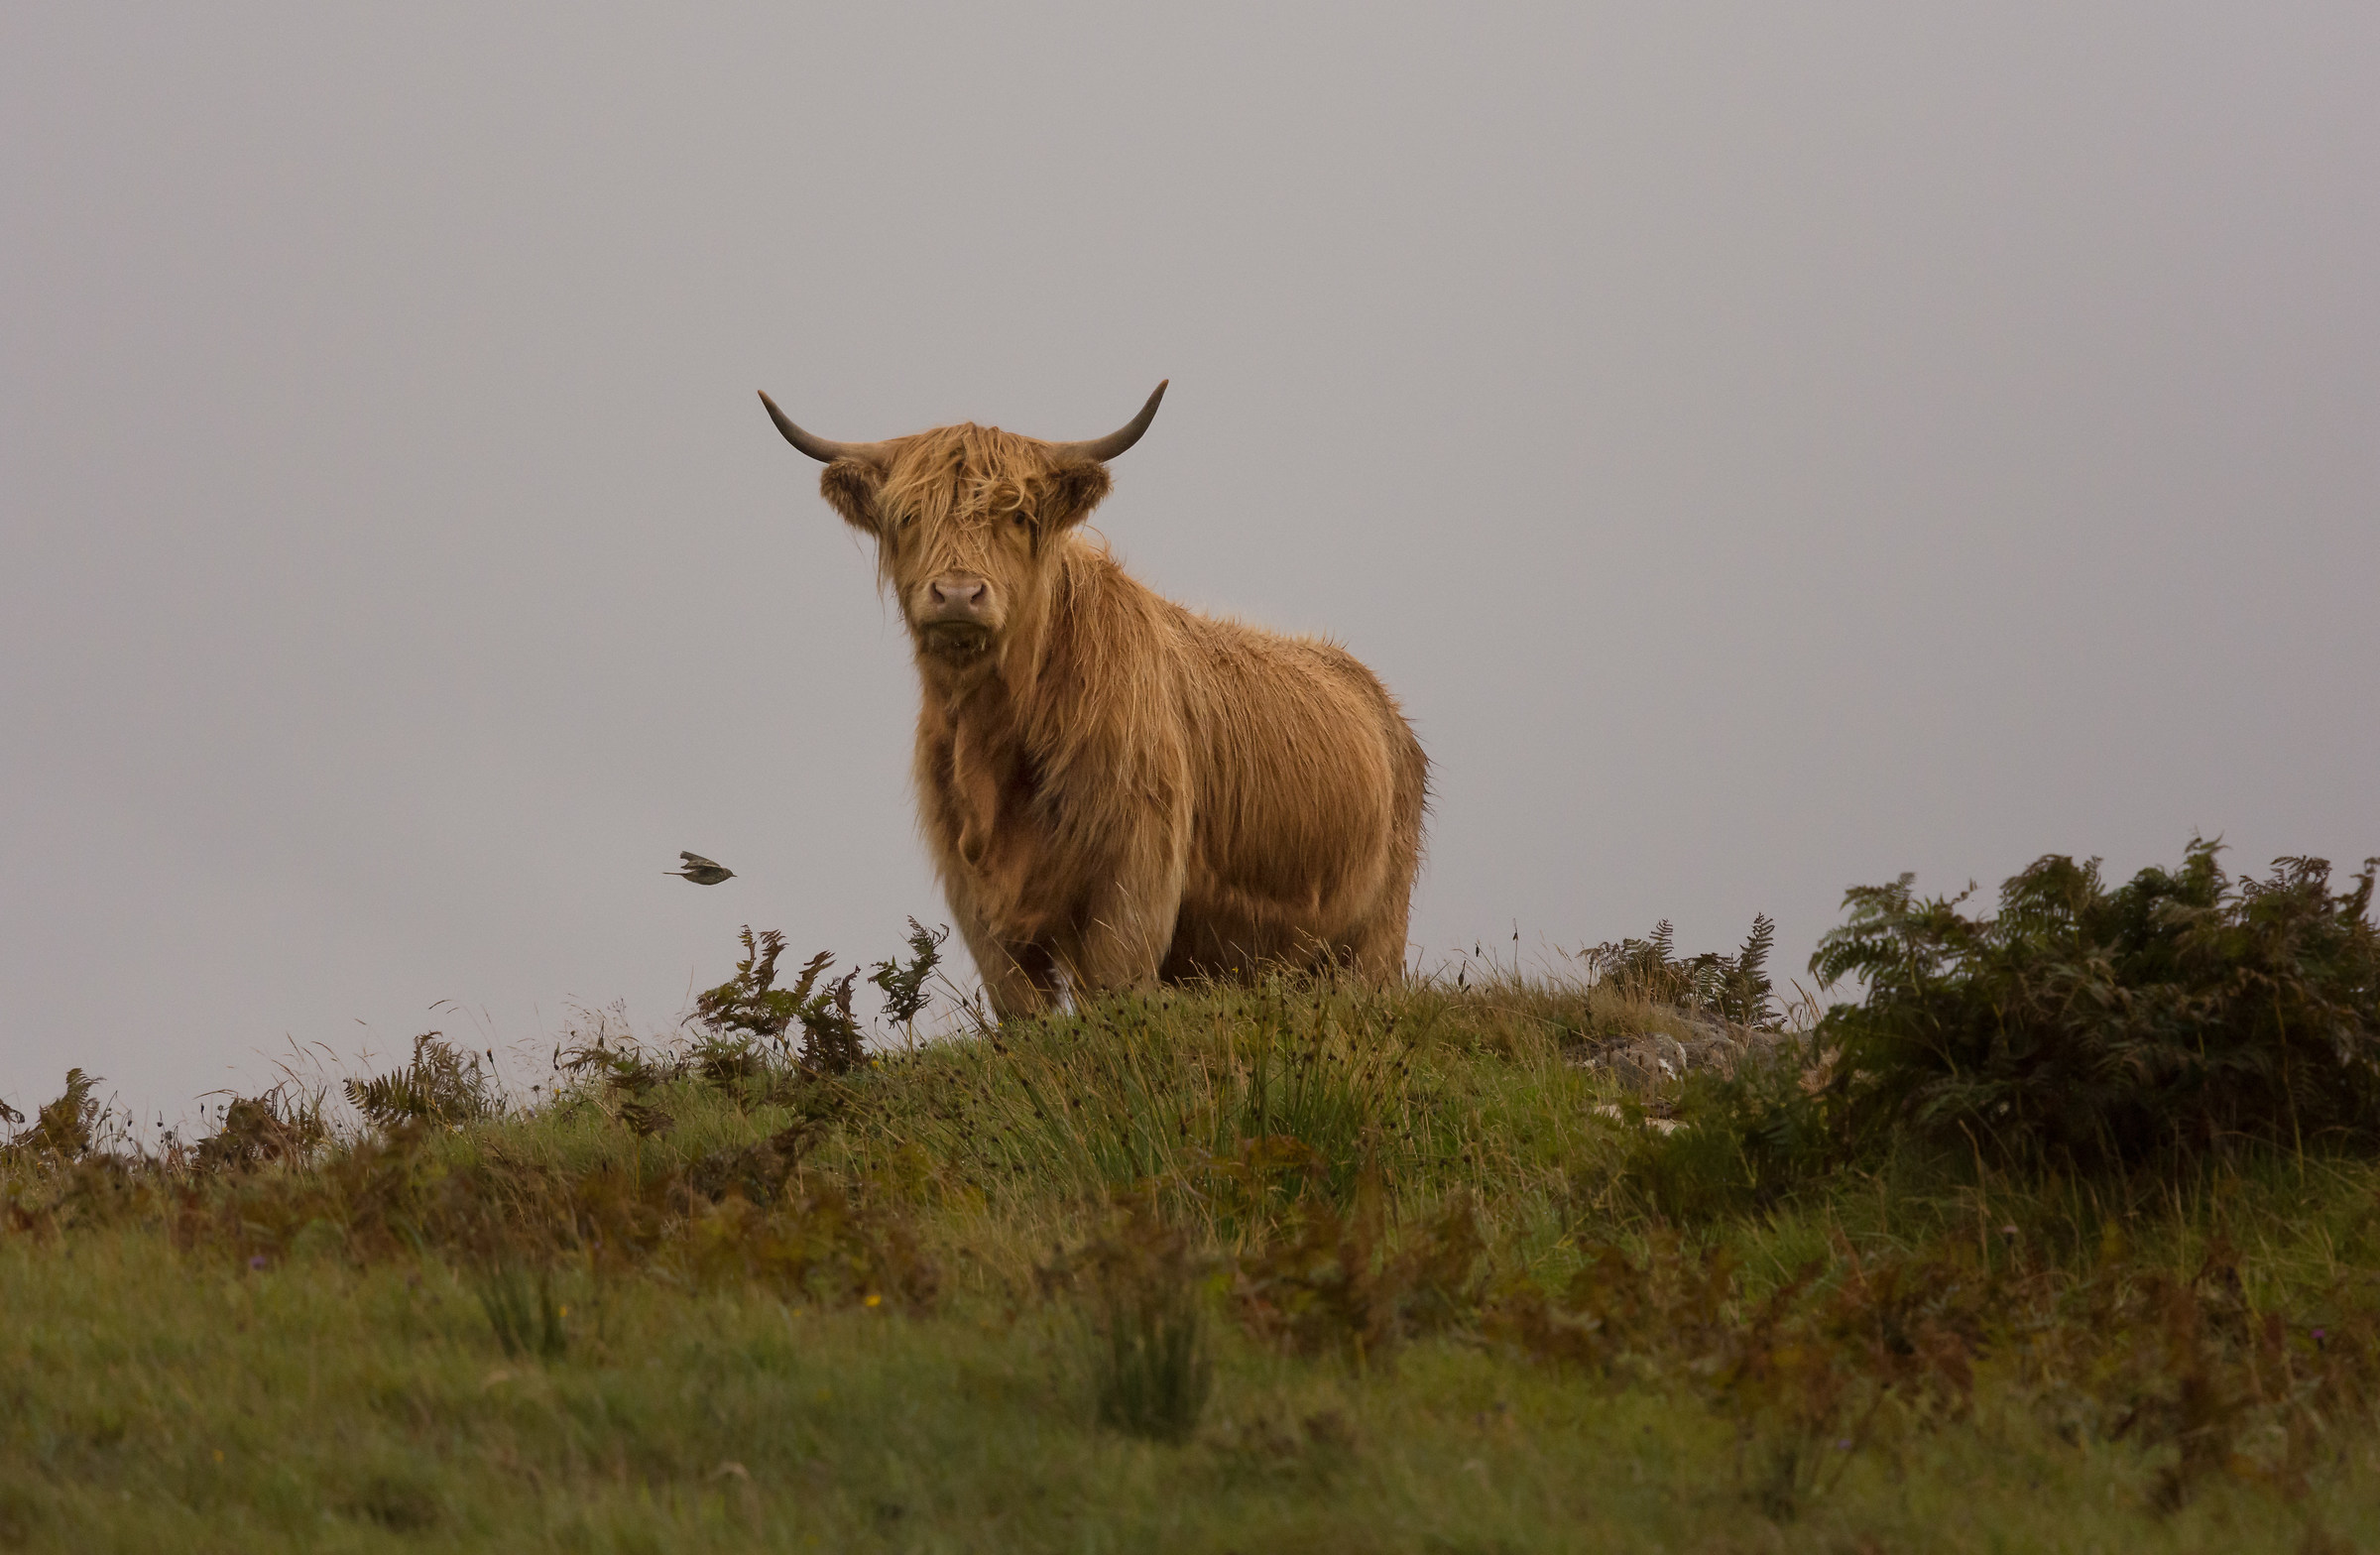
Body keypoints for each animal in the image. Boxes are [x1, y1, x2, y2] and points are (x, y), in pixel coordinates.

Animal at [759, 382, 1427, 1019]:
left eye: (1020, 516)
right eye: (906, 516)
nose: (957, 594)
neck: (994, 741)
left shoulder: (1136, 871)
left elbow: (1116, 986)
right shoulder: (976, 896)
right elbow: (1022, 1011)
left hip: (1377, 937)